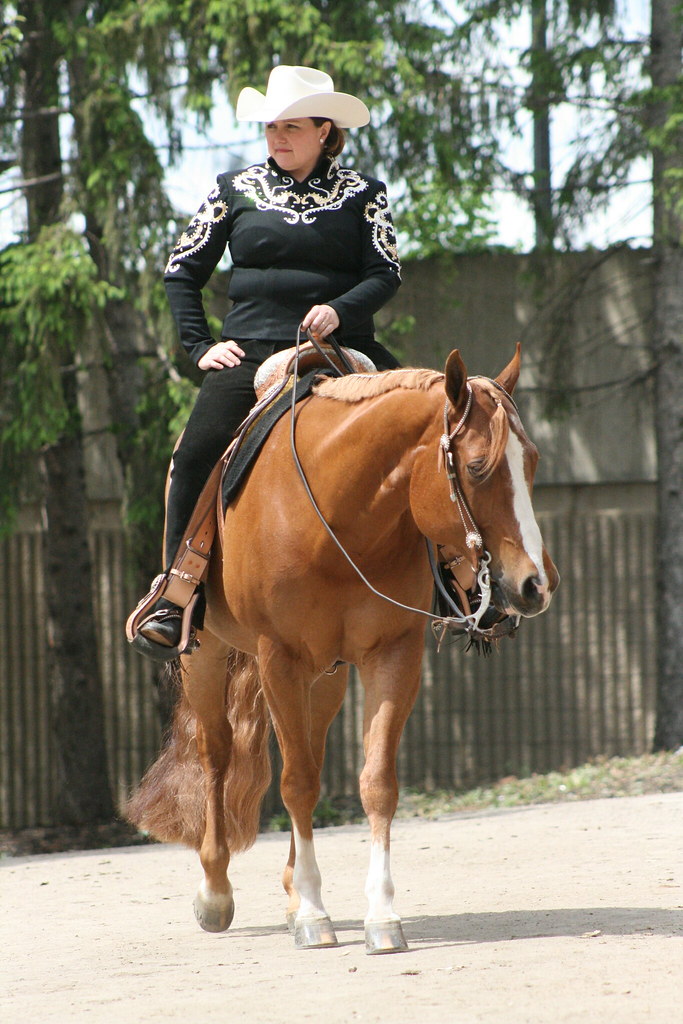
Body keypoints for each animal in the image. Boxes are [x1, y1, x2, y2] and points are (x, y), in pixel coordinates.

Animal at [125, 344, 559, 954]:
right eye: (478, 467)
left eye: (533, 461)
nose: (537, 585)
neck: (337, 516)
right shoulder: (278, 657)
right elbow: (296, 783)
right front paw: (312, 911)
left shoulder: (392, 655)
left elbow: (374, 783)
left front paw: (379, 915)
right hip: (205, 656)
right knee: (217, 754)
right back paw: (215, 890)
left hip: (326, 676)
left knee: (308, 748)